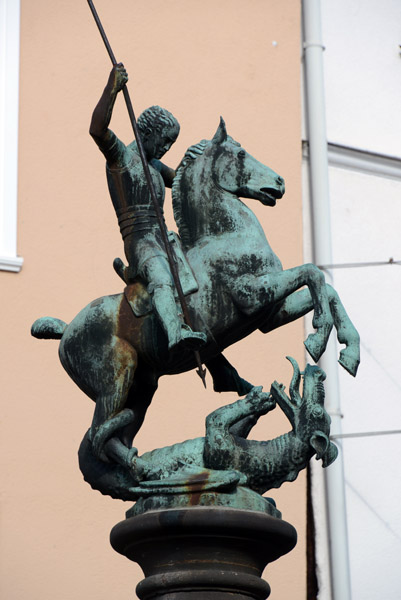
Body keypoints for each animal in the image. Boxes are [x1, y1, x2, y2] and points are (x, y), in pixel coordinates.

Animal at [30, 116, 356, 464]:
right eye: (240, 153)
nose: (279, 182)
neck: (226, 235)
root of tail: (66, 331)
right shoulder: (254, 296)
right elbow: (313, 273)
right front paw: (317, 338)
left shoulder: (270, 314)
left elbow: (328, 290)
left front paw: (350, 352)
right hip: (117, 379)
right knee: (97, 436)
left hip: (142, 389)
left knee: (115, 435)